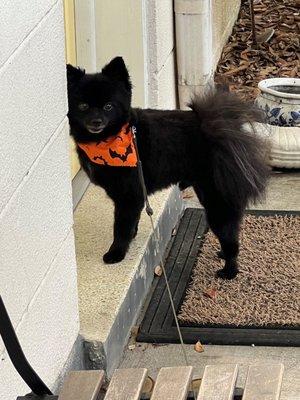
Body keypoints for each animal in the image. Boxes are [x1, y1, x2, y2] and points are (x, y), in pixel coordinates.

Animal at [67, 57, 268, 280]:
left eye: (109, 106)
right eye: (83, 106)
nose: (96, 121)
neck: (111, 138)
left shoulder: (128, 196)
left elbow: (120, 228)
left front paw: (116, 252)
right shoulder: (135, 197)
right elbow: (131, 223)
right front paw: (132, 236)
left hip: (217, 200)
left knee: (230, 237)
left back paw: (229, 270)